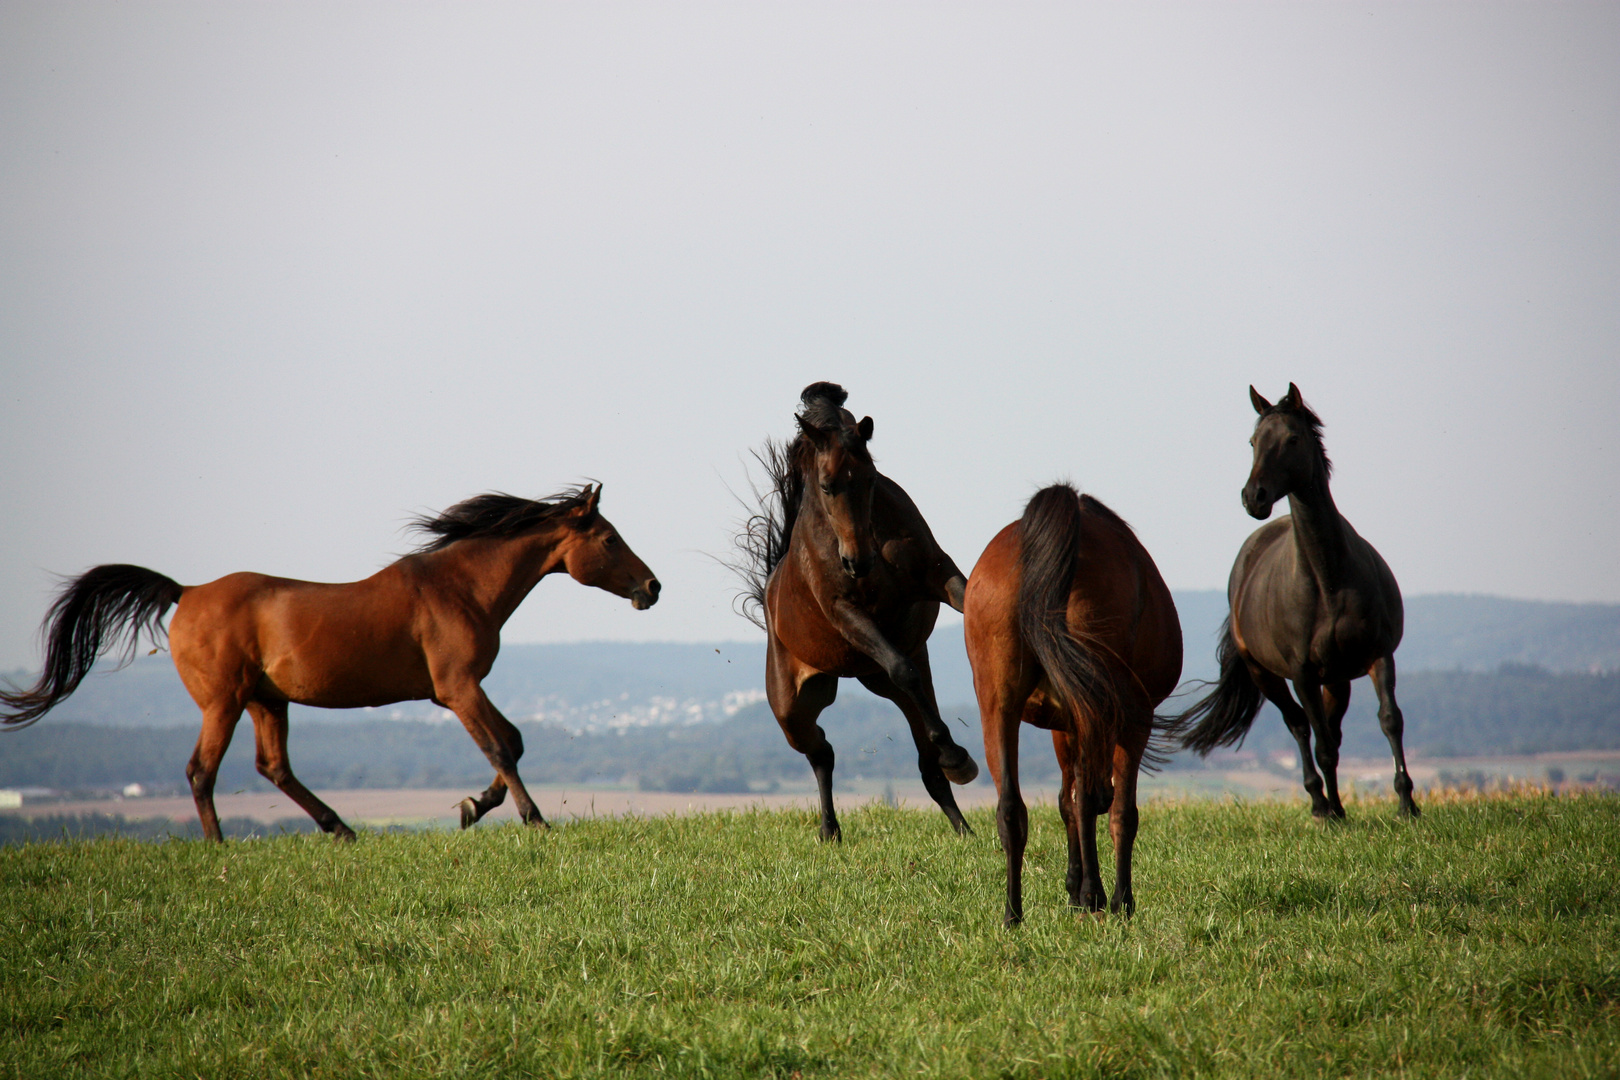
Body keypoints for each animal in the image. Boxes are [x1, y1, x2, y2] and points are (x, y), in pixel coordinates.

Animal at [1, 485, 657, 841]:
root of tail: (185, 592)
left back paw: (340, 828)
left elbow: (514, 742)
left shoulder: (460, 690)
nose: (652, 587)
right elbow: (501, 746)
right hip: (224, 701)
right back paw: (219, 848)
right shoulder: (457, 688)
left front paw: (474, 807)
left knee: (273, 767)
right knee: (201, 770)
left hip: (267, 701)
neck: (459, 587)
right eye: (608, 539)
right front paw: (532, 819)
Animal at [735, 383, 972, 841]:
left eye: (870, 479)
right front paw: (957, 756)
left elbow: (971, 602)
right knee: (821, 751)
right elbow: (902, 668)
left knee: (926, 764)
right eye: (827, 486)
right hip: (792, 709)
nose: (857, 562)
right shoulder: (845, 611)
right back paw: (830, 830)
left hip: (879, 681)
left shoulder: (939, 574)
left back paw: (965, 829)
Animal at [959, 485, 1179, 926]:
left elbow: (1067, 799)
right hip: (1104, 712)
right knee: (1095, 800)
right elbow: (1117, 811)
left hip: (998, 704)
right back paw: (1098, 896)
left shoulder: (1064, 724)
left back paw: (1013, 914)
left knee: (1011, 808)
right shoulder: (1130, 721)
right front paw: (1115, 899)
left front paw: (1075, 888)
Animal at [1179, 388, 1419, 819]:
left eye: (1292, 439)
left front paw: (1407, 803)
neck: (1328, 579)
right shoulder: (1302, 673)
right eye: (1253, 442)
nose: (1253, 497)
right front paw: (1335, 813)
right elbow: (1319, 743)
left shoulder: (1378, 654)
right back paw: (1321, 803)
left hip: (1337, 677)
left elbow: (1389, 720)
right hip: (1266, 674)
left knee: (1330, 731)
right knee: (1299, 726)